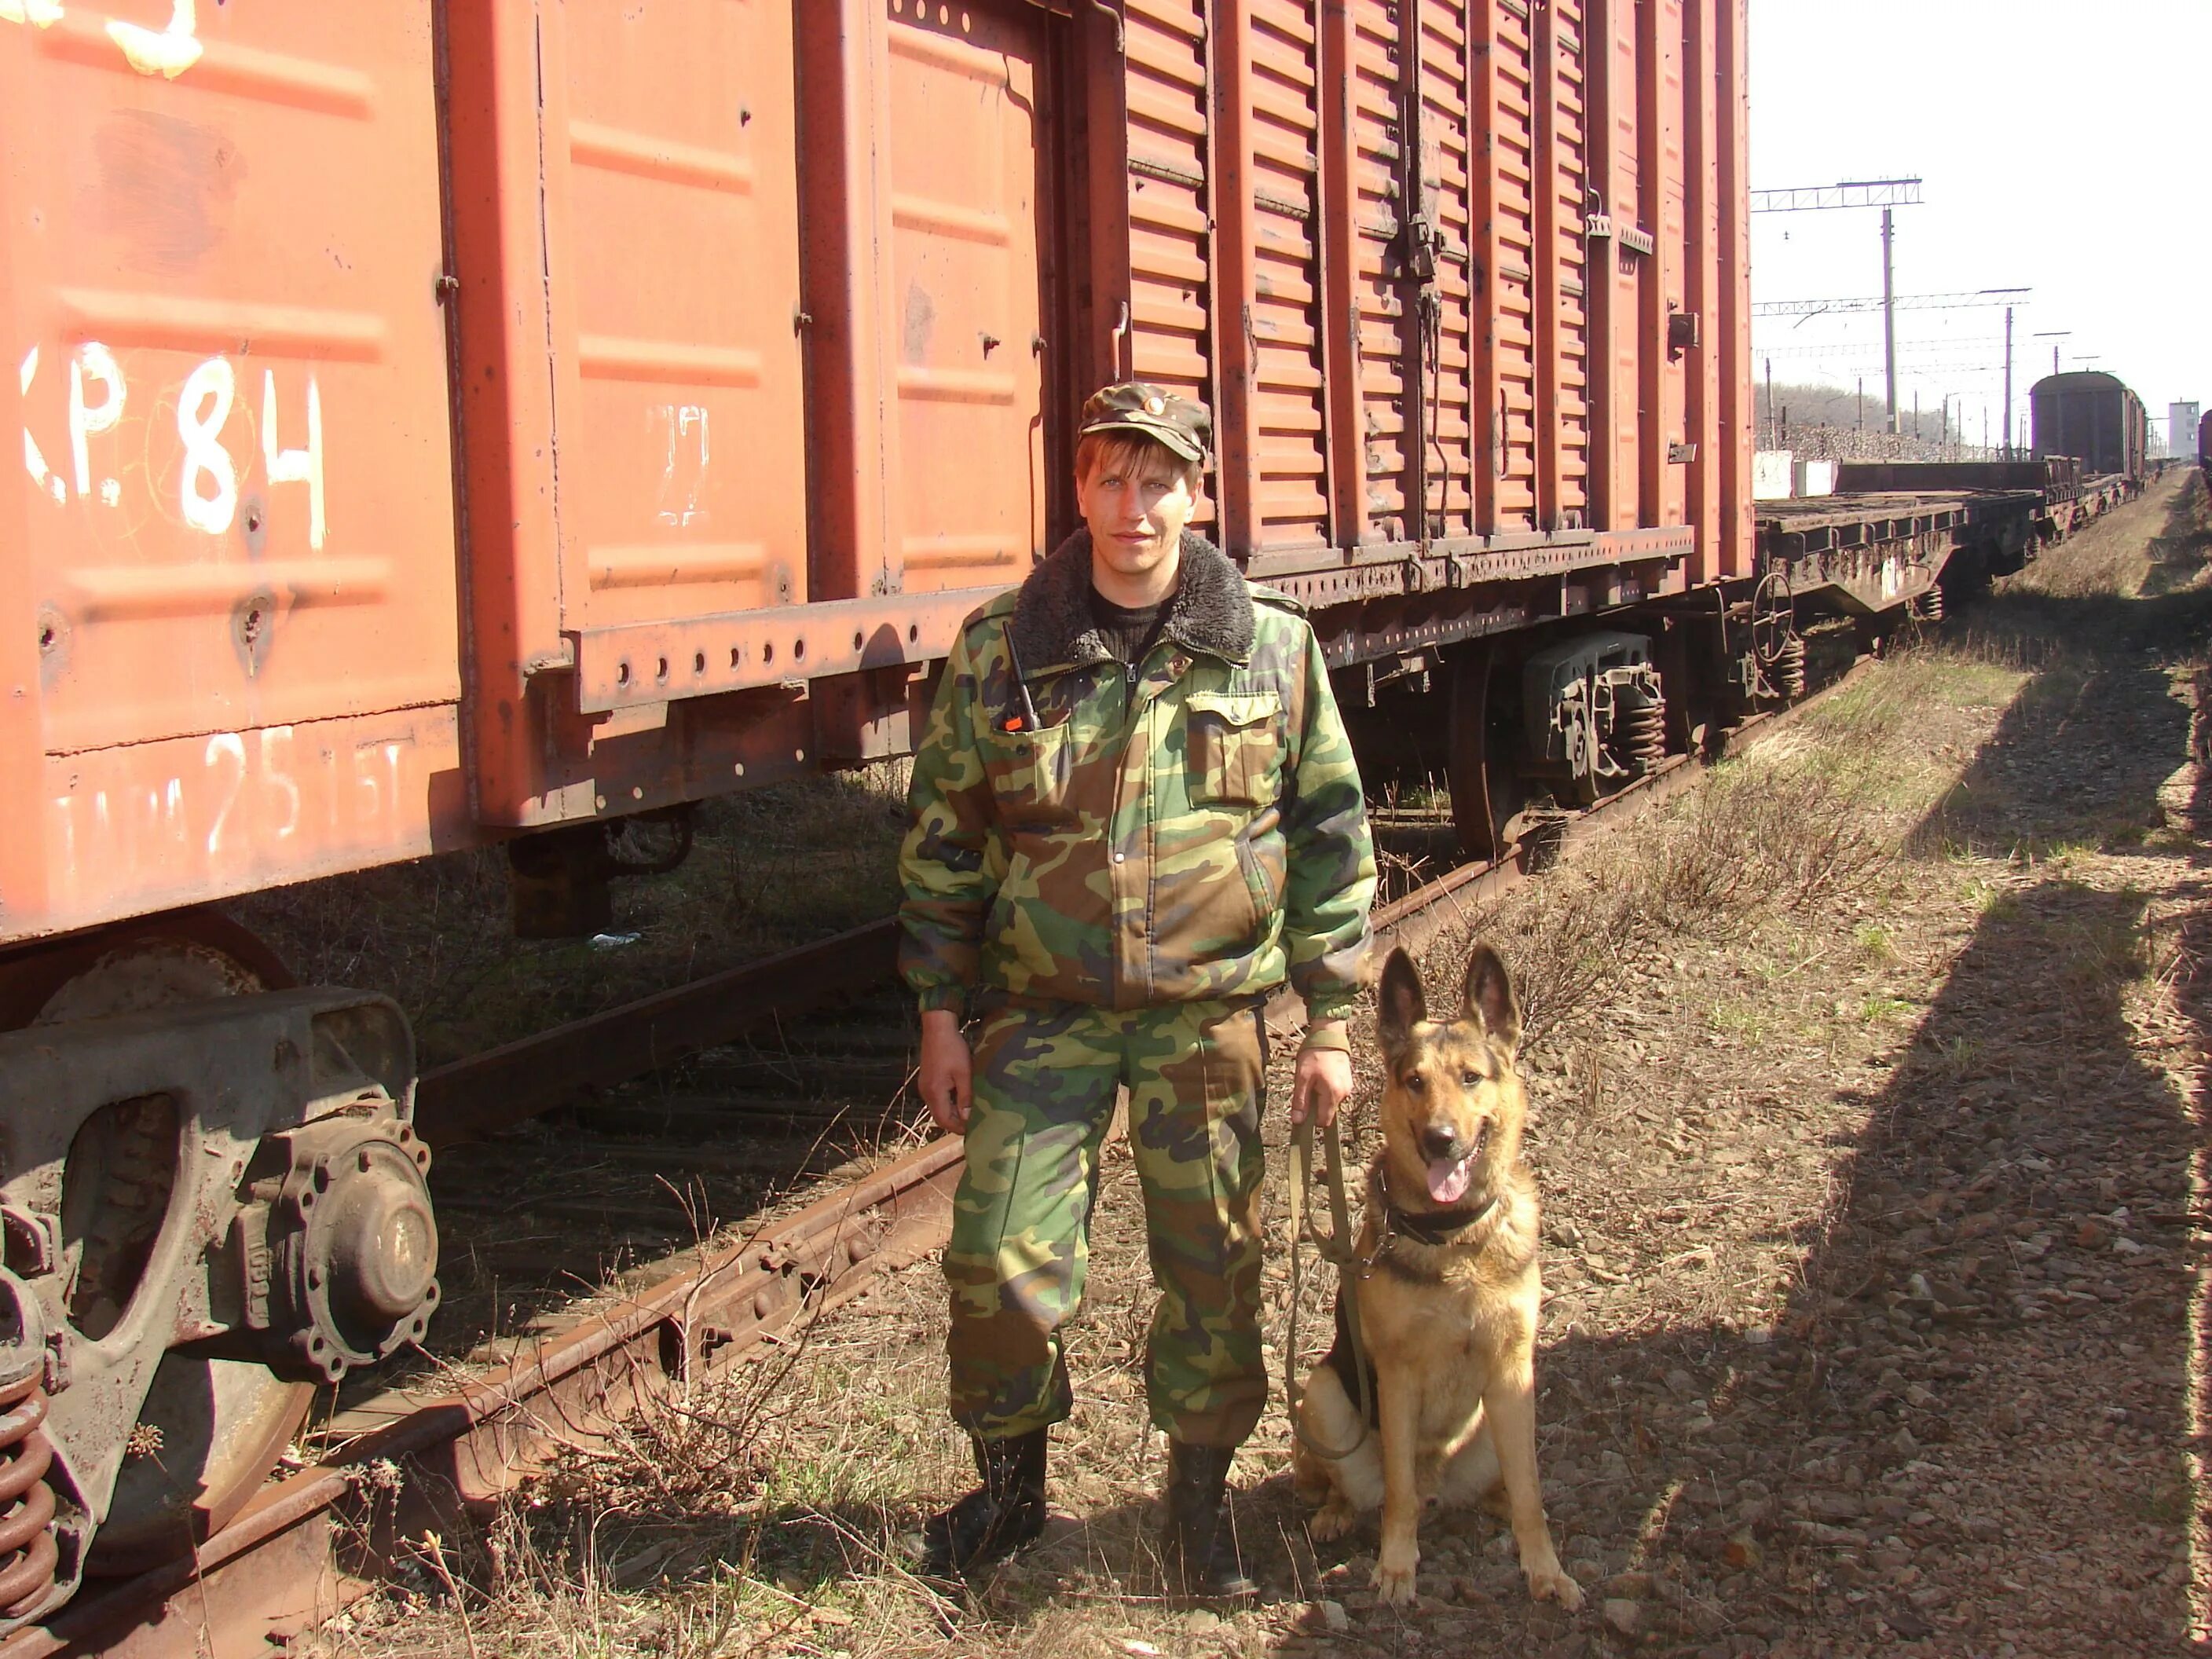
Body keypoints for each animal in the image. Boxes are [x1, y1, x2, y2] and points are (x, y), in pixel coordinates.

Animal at [1291, 947, 1584, 1610]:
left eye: (1471, 1078)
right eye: (1415, 1082)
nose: (1440, 1140)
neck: (1457, 1241)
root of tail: (1438, 1486)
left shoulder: (1513, 1369)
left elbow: (1531, 1491)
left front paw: (1545, 1568)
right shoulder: (1398, 1377)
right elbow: (1397, 1496)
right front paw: (1398, 1567)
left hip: (1499, 1420)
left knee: (1504, 1481)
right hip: (1322, 1393)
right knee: (1359, 1485)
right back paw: (1337, 1512)